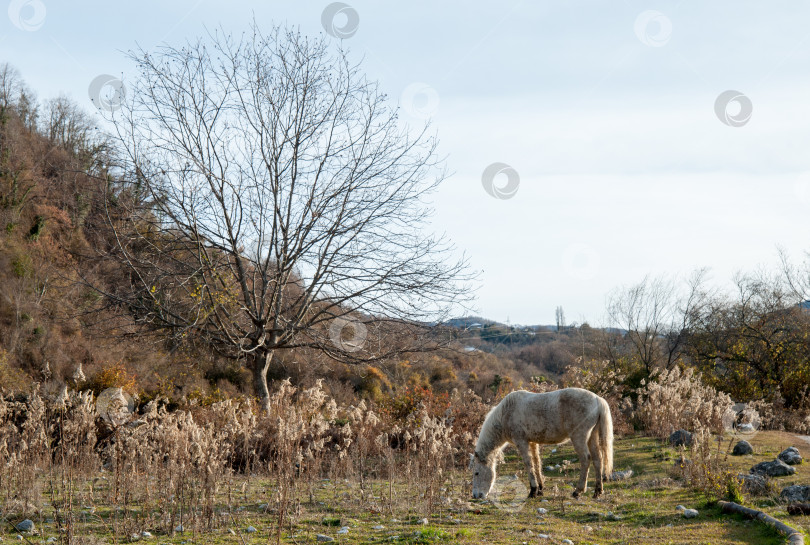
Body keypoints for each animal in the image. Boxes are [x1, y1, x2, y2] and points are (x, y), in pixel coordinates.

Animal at [468, 386, 612, 498]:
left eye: (476, 473)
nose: (475, 495)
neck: (506, 413)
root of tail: (597, 400)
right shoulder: (532, 443)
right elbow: (537, 463)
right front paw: (540, 489)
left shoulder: (522, 442)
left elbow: (529, 464)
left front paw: (533, 491)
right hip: (592, 437)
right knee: (598, 459)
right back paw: (597, 491)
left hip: (579, 438)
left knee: (586, 459)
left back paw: (578, 491)